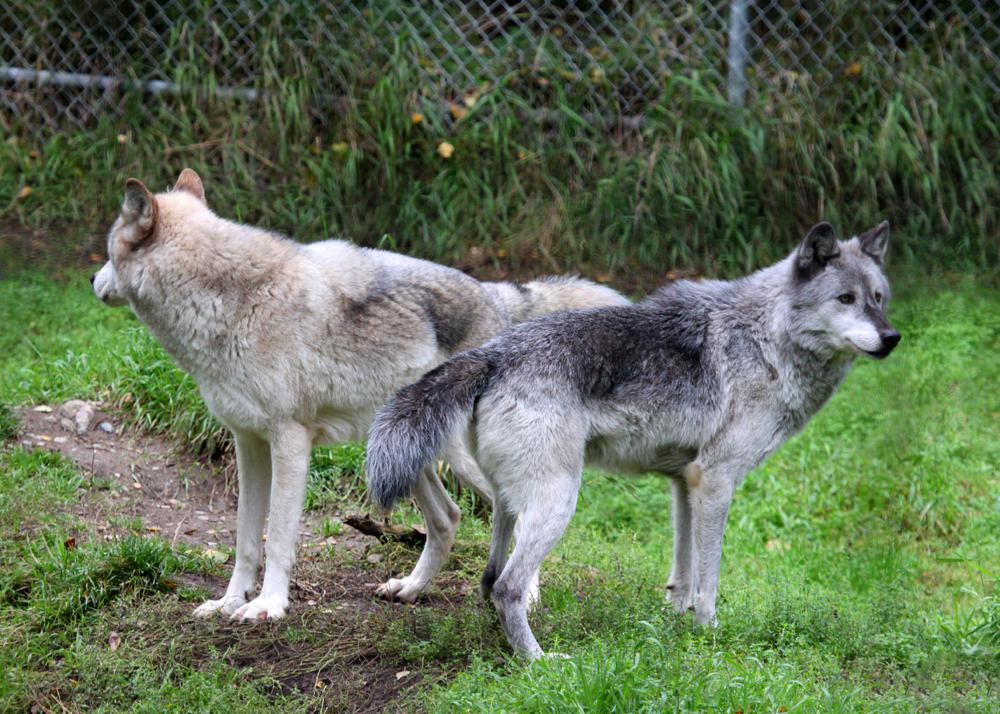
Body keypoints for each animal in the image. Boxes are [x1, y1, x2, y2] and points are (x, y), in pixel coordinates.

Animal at [92, 170, 624, 620]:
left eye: (108, 251)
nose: (94, 281)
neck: (231, 300)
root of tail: (500, 295)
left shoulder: (290, 442)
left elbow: (278, 535)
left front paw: (267, 607)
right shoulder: (248, 443)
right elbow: (244, 538)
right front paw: (227, 603)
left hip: (465, 462)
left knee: (512, 511)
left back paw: (525, 593)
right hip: (400, 455)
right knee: (449, 518)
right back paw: (410, 589)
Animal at [366, 221, 900, 656]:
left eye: (878, 298)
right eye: (846, 299)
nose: (892, 337)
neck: (764, 338)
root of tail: (493, 354)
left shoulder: (685, 483)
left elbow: (682, 574)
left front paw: (675, 624)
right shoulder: (716, 482)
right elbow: (708, 578)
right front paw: (709, 633)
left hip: (510, 502)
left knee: (489, 579)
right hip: (559, 503)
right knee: (508, 587)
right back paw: (541, 663)